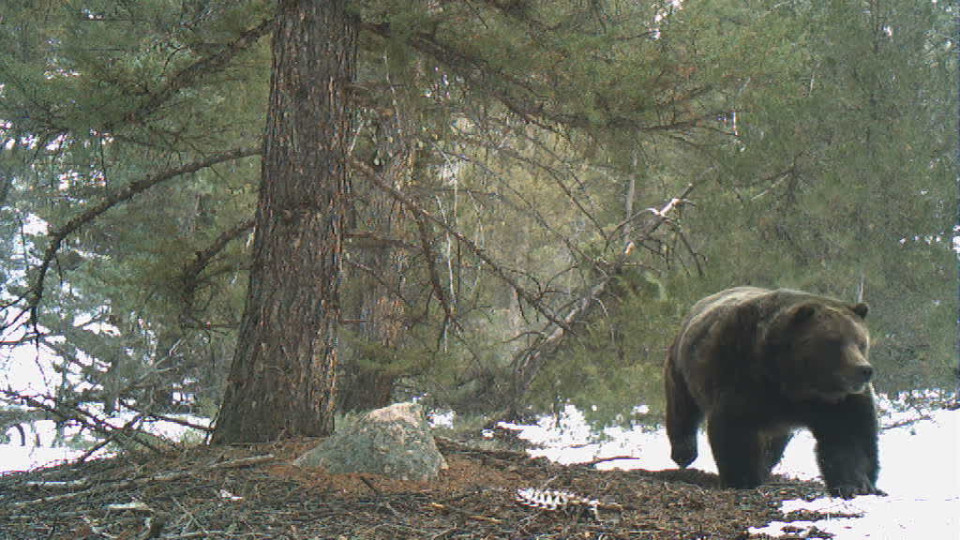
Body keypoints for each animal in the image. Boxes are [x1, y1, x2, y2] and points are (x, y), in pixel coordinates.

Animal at [664, 286, 880, 498]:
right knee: (682, 408)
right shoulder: (742, 375)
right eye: (834, 341)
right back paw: (684, 453)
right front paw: (743, 479)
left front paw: (856, 484)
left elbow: (848, 434)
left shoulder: (837, 401)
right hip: (683, 367)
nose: (864, 370)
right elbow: (736, 428)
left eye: (861, 342)